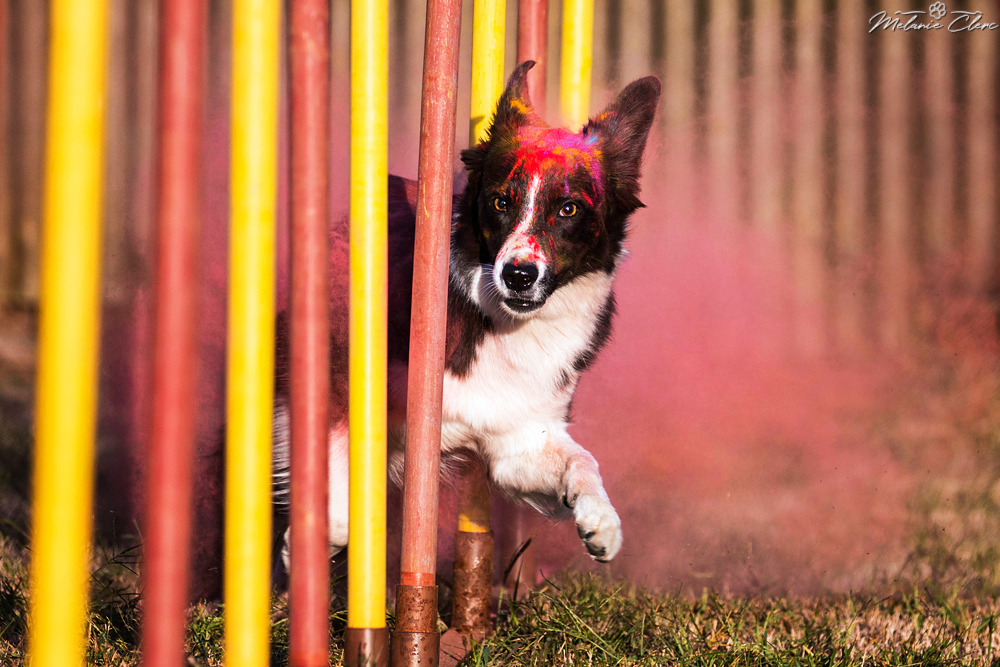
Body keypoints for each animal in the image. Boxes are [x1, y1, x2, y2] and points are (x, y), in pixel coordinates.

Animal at [273, 61, 660, 564]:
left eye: (569, 209)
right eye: (500, 202)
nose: (519, 275)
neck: (500, 321)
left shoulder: (516, 436)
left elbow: (582, 458)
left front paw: (601, 519)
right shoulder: (333, 380)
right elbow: (338, 505)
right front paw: (304, 544)